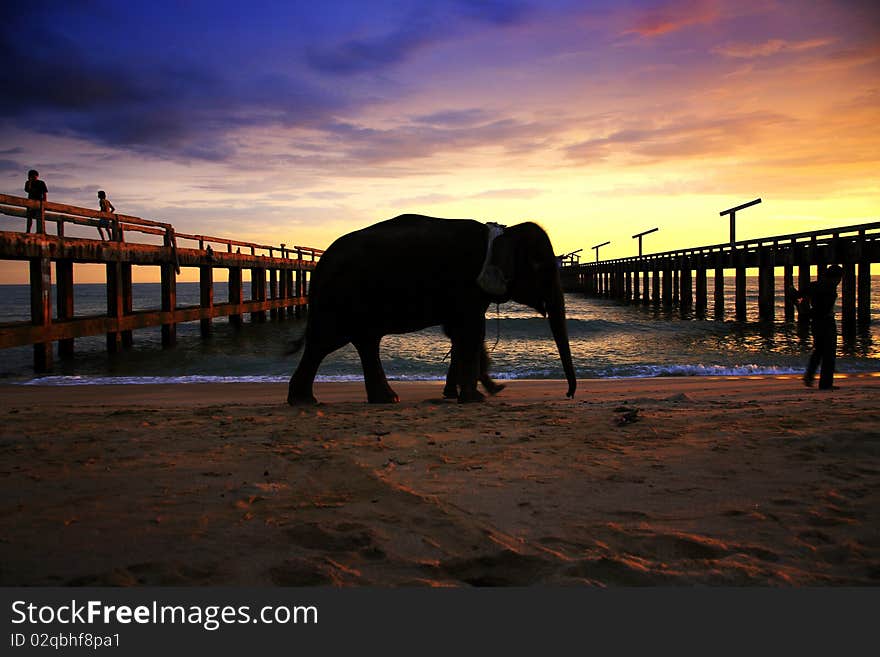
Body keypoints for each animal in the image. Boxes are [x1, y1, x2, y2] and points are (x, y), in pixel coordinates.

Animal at [288, 213, 576, 402]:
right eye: (540, 266)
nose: (569, 394)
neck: (503, 232)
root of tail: (320, 263)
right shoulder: (466, 284)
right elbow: (472, 331)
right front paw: (475, 398)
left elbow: (460, 333)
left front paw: (458, 394)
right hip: (343, 297)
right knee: (328, 341)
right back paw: (306, 400)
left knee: (358, 342)